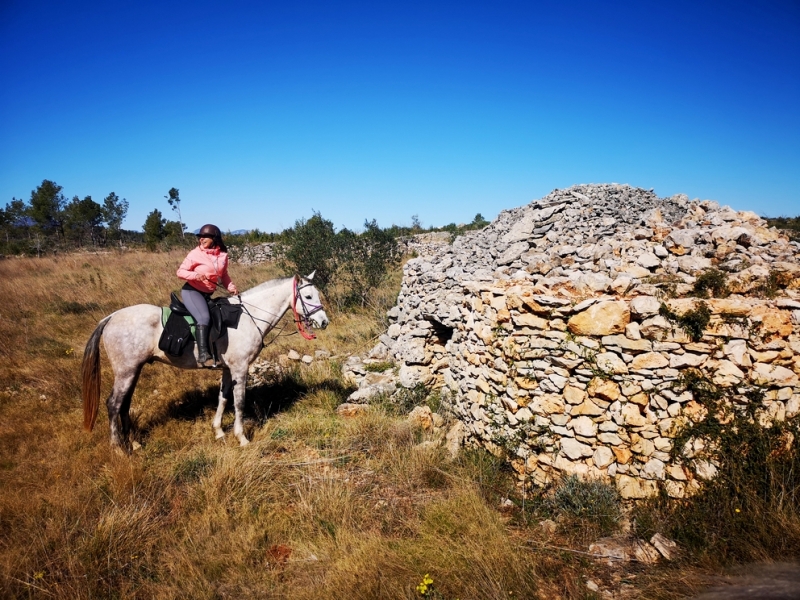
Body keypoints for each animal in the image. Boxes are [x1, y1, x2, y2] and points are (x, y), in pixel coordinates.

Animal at [80, 272, 328, 450]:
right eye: (308, 297)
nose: (324, 322)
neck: (249, 318)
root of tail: (111, 317)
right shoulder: (240, 369)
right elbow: (239, 402)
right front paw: (242, 438)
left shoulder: (229, 369)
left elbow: (223, 398)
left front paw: (218, 431)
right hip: (126, 371)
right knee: (113, 404)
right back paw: (118, 449)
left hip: (134, 370)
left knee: (124, 405)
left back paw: (133, 442)